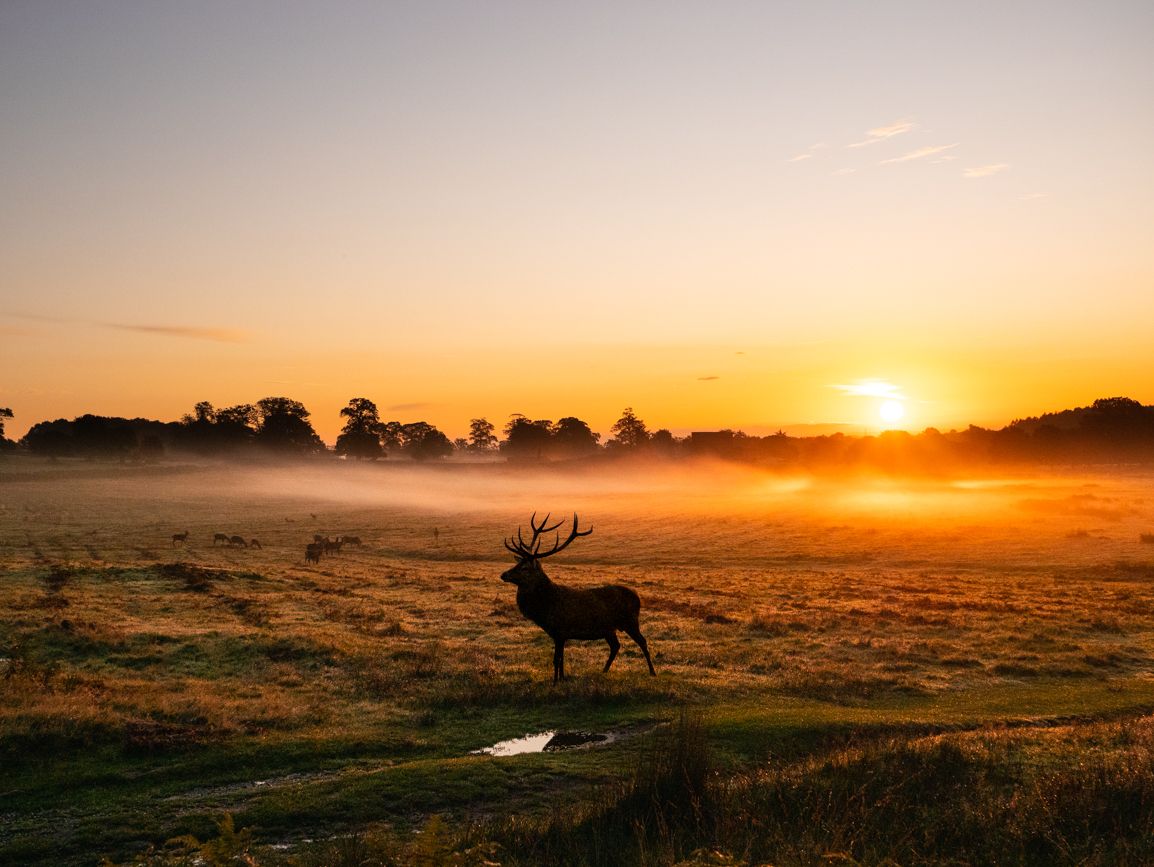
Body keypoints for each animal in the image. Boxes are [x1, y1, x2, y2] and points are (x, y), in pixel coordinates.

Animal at [501, 513, 656, 684]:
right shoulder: (560, 635)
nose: (504, 575)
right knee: (616, 646)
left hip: (630, 621)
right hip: (609, 628)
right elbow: (562, 659)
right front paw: (562, 678)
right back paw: (603, 671)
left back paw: (652, 672)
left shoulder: (559, 630)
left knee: (642, 641)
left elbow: (556, 659)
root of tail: (637, 597)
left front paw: (554, 683)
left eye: (525, 568)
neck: (544, 609)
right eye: (517, 564)